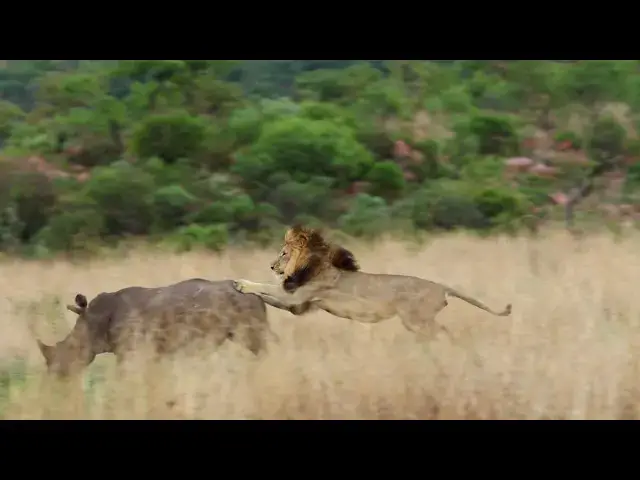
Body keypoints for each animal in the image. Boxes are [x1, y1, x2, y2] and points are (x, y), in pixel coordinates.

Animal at [233, 225, 512, 339]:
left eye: (283, 253)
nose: (271, 266)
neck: (315, 264)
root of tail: (441, 286)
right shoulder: (300, 305)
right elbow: (269, 296)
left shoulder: (296, 295)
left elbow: (267, 286)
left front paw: (241, 283)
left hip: (416, 319)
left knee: (442, 332)